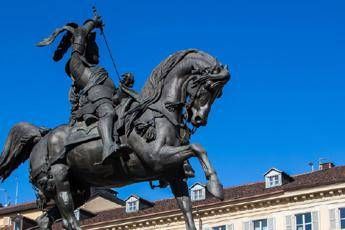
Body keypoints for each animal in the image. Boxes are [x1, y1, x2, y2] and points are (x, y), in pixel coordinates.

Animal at [0, 49, 231, 229]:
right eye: (208, 88)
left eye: (219, 94)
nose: (199, 119)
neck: (156, 111)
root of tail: (43, 136)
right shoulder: (157, 157)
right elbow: (198, 147)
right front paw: (215, 186)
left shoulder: (173, 173)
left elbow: (187, 210)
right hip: (59, 178)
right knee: (69, 219)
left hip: (79, 189)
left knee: (45, 220)